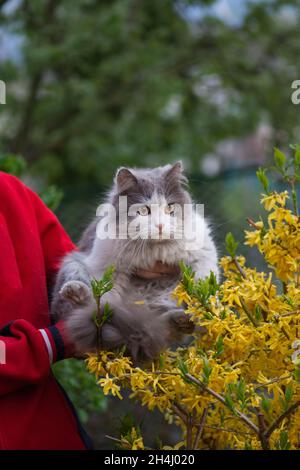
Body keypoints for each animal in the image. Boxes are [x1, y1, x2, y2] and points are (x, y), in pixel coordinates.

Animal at [51, 162, 219, 364]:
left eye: (170, 208)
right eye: (143, 211)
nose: (160, 226)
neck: (154, 250)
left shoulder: (202, 254)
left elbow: (205, 287)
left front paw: (207, 318)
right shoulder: (107, 267)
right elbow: (106, 300)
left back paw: (180, 321)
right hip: (73, 264)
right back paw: (76, 292)